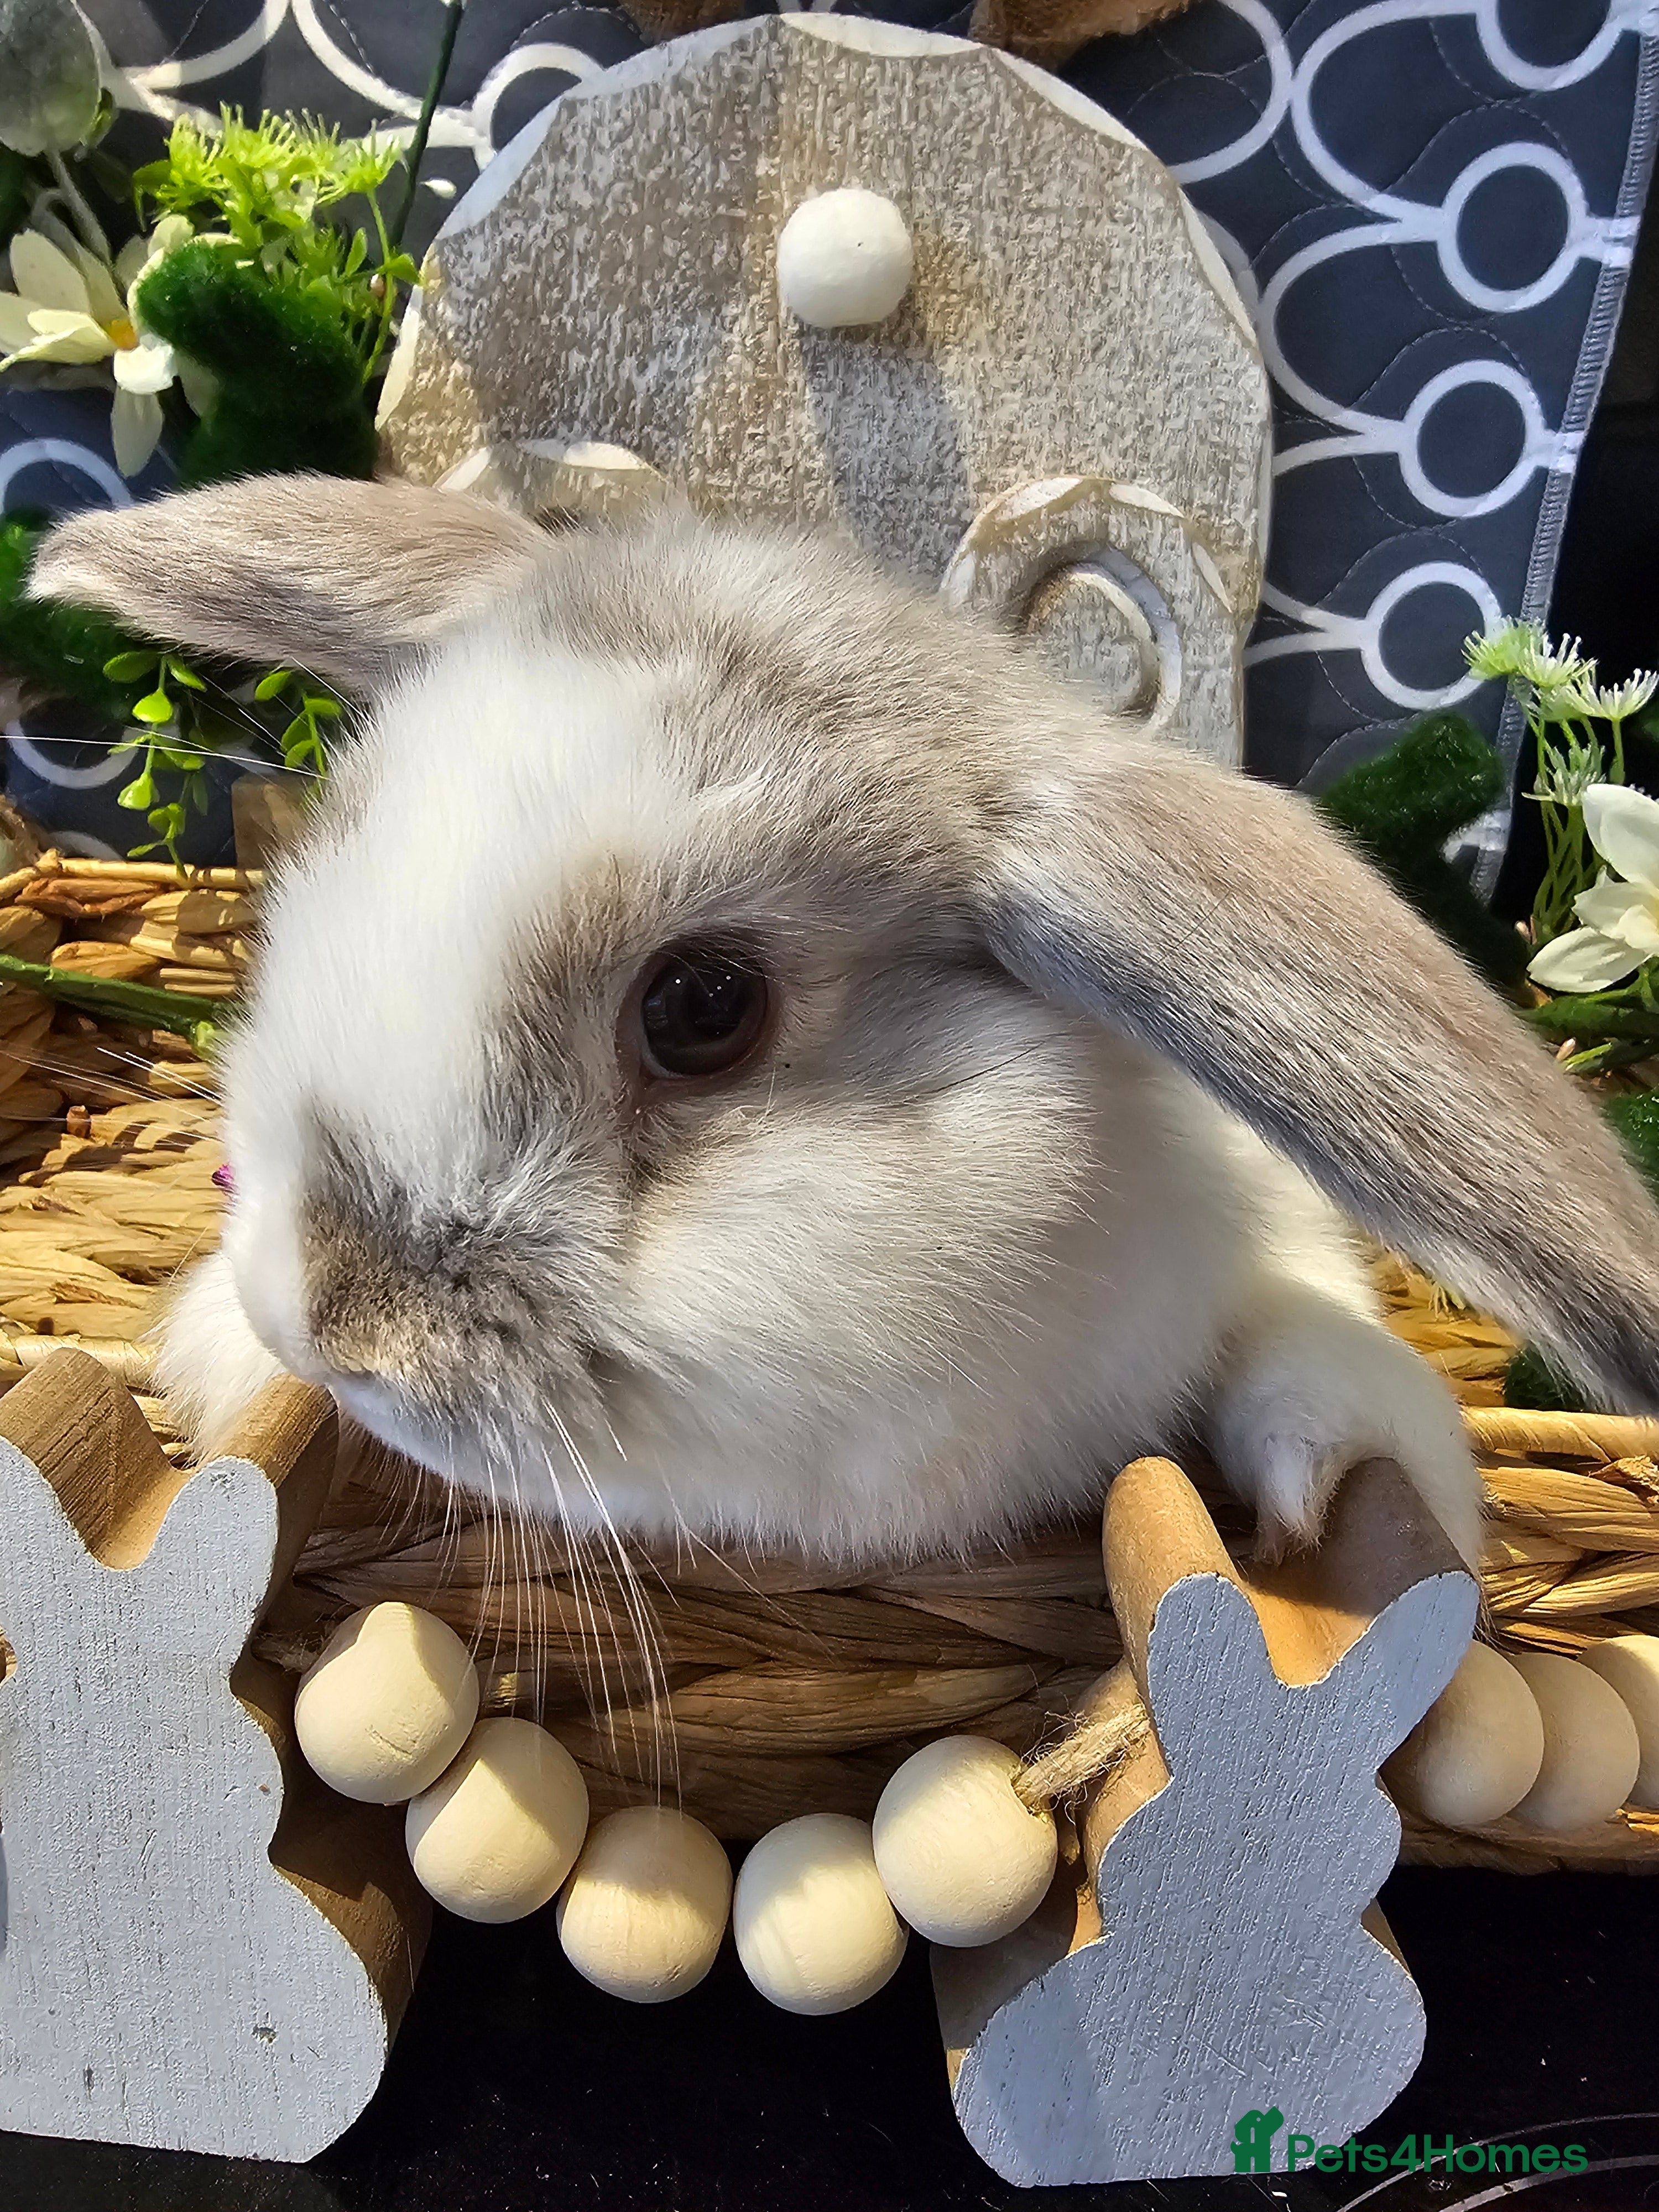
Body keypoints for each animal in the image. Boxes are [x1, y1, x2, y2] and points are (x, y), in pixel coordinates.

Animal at [30, 475, 1659, 1572]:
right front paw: (224, 1360)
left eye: (703, 1010)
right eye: (351, 829)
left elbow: (1305, 1325)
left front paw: (1344, 1475)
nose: (321, 1325)